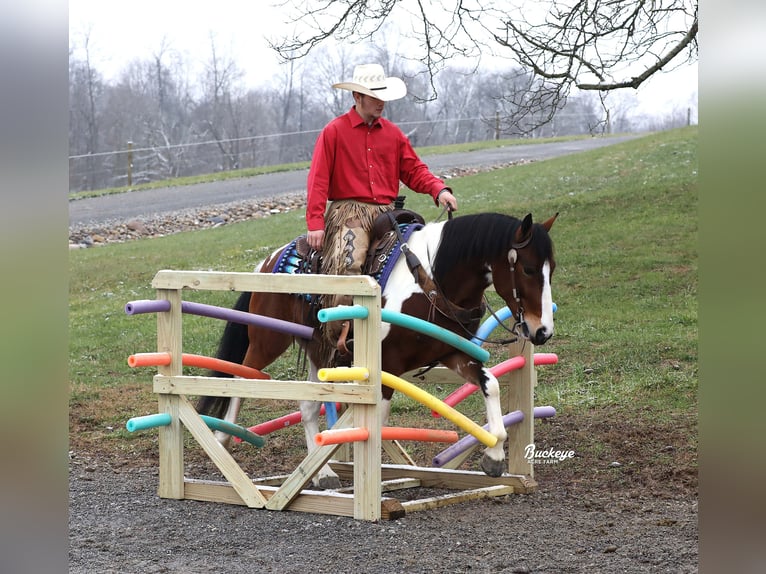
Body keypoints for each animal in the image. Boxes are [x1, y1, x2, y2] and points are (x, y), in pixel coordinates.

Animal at [196, 212, 560, 490]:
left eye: (551, 269)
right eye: (528, 269)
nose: (541, 331)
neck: (430, 282)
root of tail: (269, 260)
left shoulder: (453, 354)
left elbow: (491, 384)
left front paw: (495, 456)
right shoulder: (387, 367)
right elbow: (374, 419)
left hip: (319, 350)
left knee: (308, 405)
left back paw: (323, 473)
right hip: (267, 339)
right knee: (240, 379)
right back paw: (221, 440)